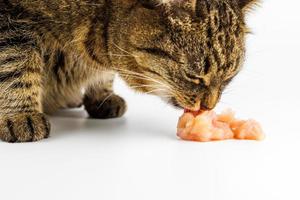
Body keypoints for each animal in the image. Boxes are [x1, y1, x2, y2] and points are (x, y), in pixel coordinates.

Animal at [0, 0, 258, 143]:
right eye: (193, 76)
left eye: (228, 78)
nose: (209, 107)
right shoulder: (12, 21)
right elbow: (16, 69)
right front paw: (20, 115)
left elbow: (104, 75)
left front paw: (102, 97)